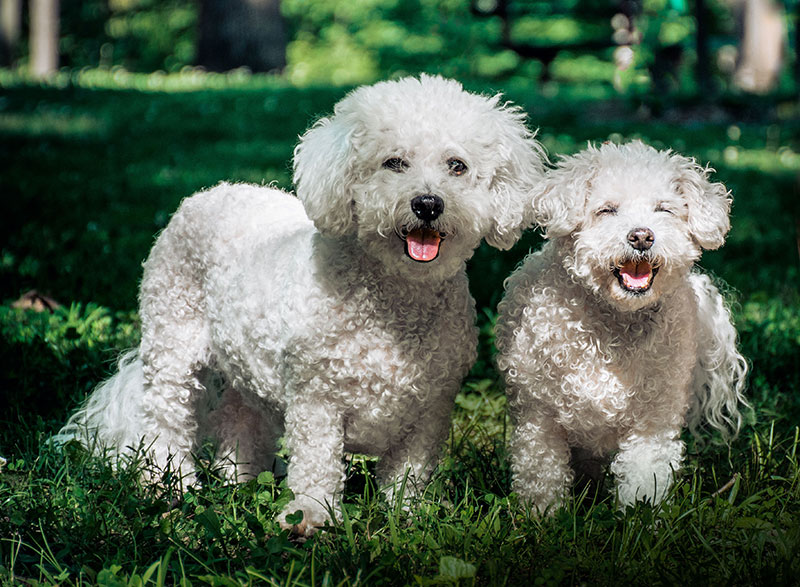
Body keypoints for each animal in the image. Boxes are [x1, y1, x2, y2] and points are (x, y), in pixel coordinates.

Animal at [56, 76, 544, 536]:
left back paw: (238, 482)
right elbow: (317, 464)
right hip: (172, 347)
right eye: (393, 162)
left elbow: (410, 473)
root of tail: (208, 193)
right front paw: (310, 515)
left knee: (241, 422)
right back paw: (167, 486)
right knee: (164, 419)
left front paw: (408, 517)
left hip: (245, 372)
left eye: (457, 166)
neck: (394, 301)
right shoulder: (317, 401)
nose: (427, 204)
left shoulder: (430, 411)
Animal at [494, 140, 752, 512]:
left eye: (664, 210)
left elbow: (645, 476)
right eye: (607, 211)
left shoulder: (653, 419)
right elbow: (541, 473)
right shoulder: (537, 416)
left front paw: (640, 516)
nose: (642, 236)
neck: (614, 321)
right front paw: (540, 517)